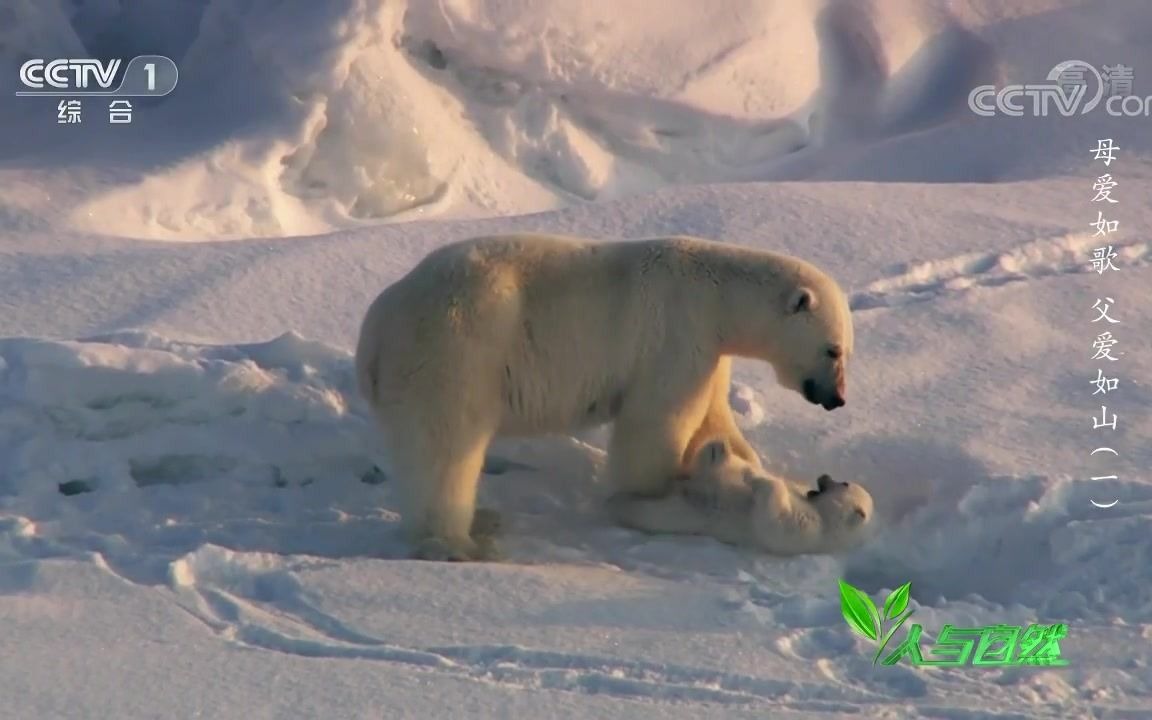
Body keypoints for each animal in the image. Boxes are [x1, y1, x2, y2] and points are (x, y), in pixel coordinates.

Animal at [354, 232, 852, 559]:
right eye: (832, 349)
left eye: (847, 350)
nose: (838, 398)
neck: (715, 294)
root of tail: (374, 333)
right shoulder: (675, 334)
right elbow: (656, 422)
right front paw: (653, 495)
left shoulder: (708, 351)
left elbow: (711, 417)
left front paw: (741, 464)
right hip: (458, 351)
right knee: (446, 448)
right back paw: (460, 542)